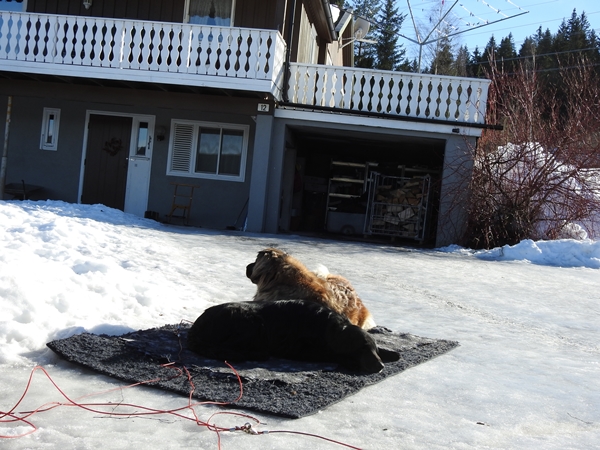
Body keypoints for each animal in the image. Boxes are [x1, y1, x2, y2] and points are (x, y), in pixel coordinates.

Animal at [186, 298, 398, 372]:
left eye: (373, 349)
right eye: (362, 349)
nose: (380, 366)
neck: (330, 328)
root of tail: (196, 327)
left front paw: (391, 353)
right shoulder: (304, 350)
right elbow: (335, 355)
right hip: (250, 321)